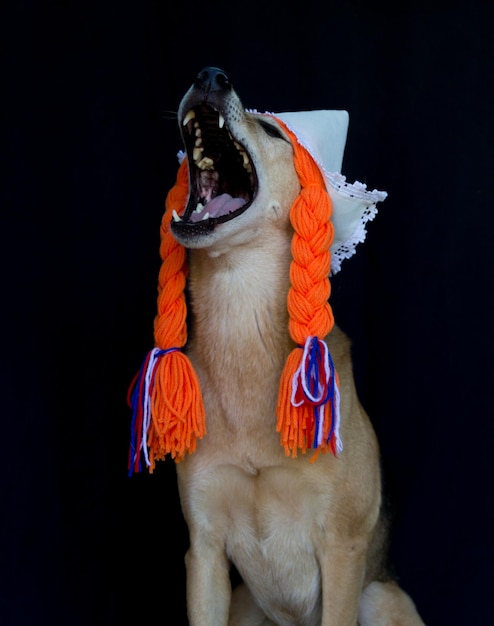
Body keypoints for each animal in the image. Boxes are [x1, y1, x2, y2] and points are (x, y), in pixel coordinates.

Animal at [169, 67, 424, 624]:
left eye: (271, 130)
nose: (209, 75)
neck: (240, 309)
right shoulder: (203, 551)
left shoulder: (342, 549)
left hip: (380, 596)